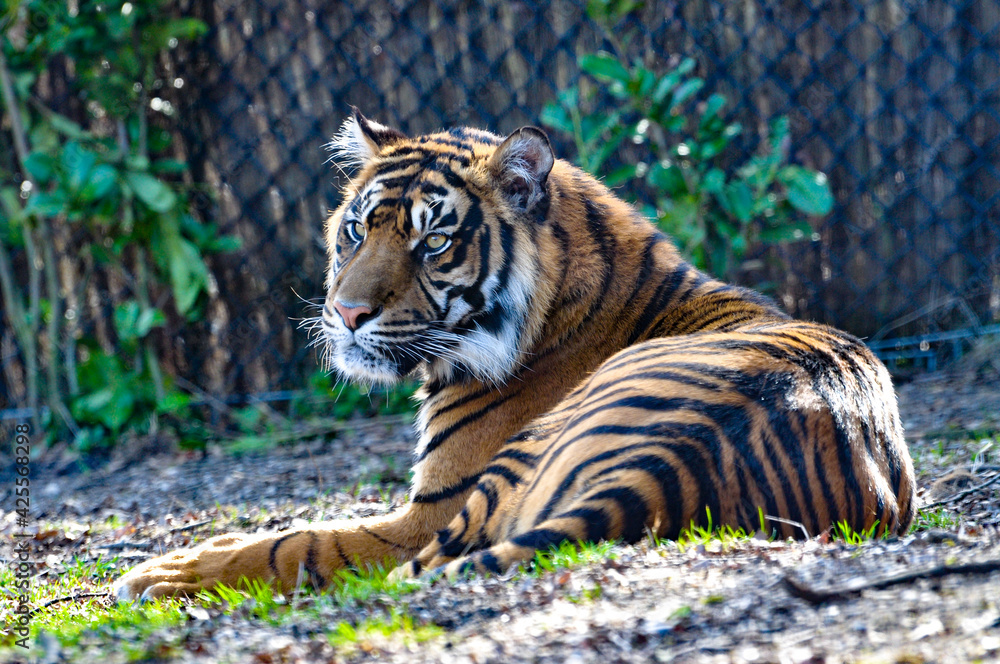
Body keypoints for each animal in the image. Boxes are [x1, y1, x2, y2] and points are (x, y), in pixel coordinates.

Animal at [115, 109, 915, 600]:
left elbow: (299, 542)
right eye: (356, 229)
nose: (345, 315)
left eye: (434, 241)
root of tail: (669, 468)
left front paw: (165, 574)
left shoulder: (424, 511)